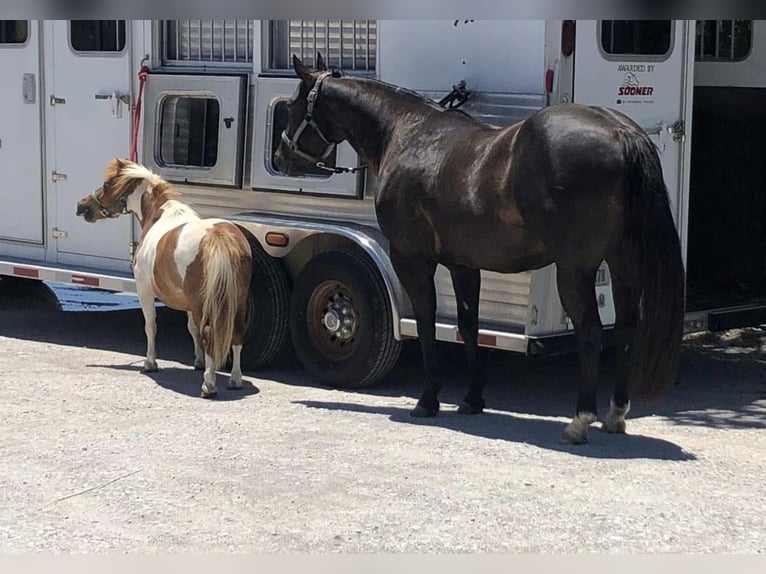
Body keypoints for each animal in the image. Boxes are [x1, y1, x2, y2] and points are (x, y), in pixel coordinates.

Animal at [76, 158, 253, 399]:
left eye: (106, 184)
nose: (81, 206)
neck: (159, 215)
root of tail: (218, 237)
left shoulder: (145, 290)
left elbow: (150, 325)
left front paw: (150, 363)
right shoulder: (188, 302)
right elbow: (191, 328)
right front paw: (198, 361)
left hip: (205, 302)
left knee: (210, 333)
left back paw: (209, 384)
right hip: (237, 300)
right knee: (236, 333)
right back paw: (235, 379)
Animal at [274, 54, 685, 444]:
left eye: (293, 107)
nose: (282, 157)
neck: (408, 134)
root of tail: (621, 133)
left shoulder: (411, 259)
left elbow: (425, 320)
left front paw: (428, 399)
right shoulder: (463, 264)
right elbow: (467, 325)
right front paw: (472, 399)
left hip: (575, 270)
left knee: (591, 332)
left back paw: (579, 421)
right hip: (623, 262)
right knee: (627, 327)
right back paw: (615, 415)